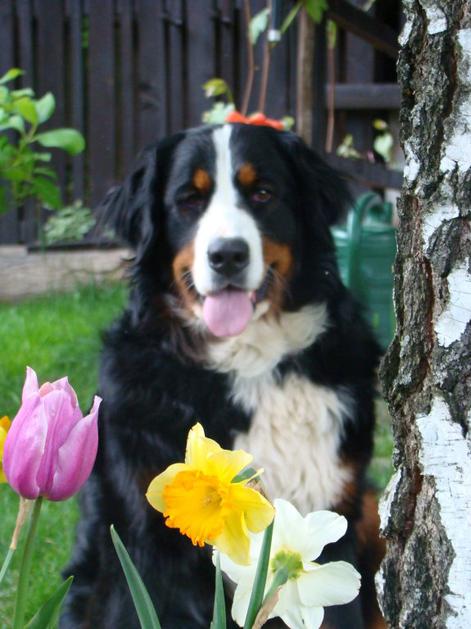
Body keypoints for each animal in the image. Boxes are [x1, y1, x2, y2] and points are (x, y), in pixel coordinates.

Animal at [62, 123, 384, 628]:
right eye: (189, 200)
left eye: (263, 193)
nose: (227, 255)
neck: (249, 362)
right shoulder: (147, 542)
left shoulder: (335, 511)